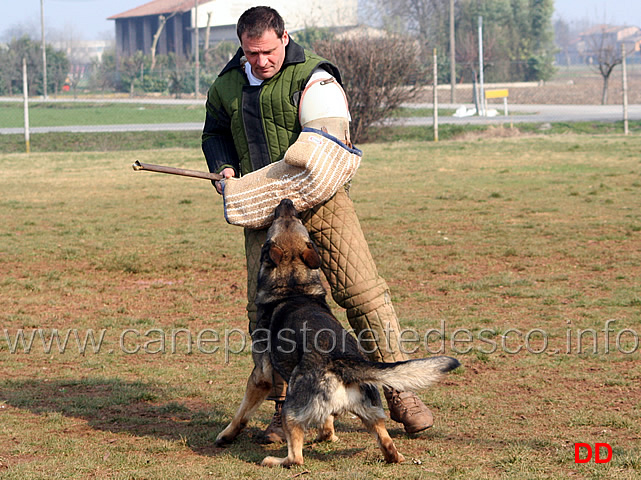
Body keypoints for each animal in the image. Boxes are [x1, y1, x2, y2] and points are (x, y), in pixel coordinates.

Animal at [216, 198, 460, 464]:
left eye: (280, 221)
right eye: (294, 219)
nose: (287, 201)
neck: (293, 285)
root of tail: (343, 361)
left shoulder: (260, 376)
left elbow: (241, 413)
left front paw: (225, 436)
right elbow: (327, 423)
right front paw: (328, 435)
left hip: (291, 408)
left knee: (296, 458)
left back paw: (273, 461)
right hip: (372, 415)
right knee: (389, 447)